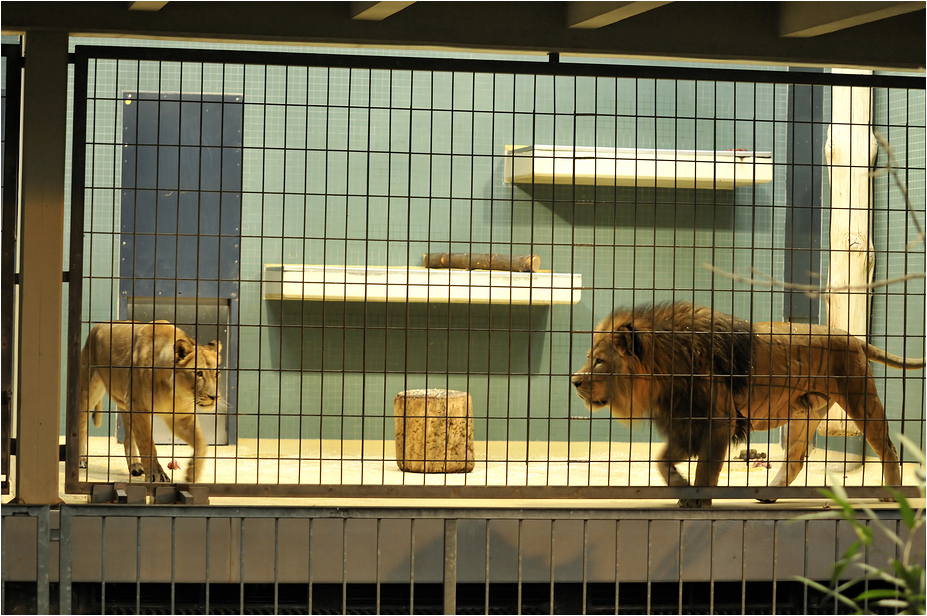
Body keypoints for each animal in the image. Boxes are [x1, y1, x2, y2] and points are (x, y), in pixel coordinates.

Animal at [78, 320, 222, 484]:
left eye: (217, 373)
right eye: (199, 373)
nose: (214, 397)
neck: (173, 390)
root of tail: (98, 325)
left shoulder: (181, 417)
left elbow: (202, 443)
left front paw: (192, 473)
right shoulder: (138, 407)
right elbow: (148, 444)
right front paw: (156, 475)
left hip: (125, 402)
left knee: (128, 438)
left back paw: (135, 465)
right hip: (89, 390)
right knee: (81, 425)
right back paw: (81, 459)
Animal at [571, 302, 925, 508]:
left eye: (599, 361)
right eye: (588, 357)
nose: (574, 381)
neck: (666, 368)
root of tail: (851, 336)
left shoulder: (719, 421)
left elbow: (706, 468)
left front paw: (698, 500)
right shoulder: (687, 423)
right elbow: (661, 461)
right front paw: (681, 488)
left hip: (860, 399)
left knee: (888, 447)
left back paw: (891, 492)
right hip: (804, 414)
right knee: (795, 459)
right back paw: (768, 493)